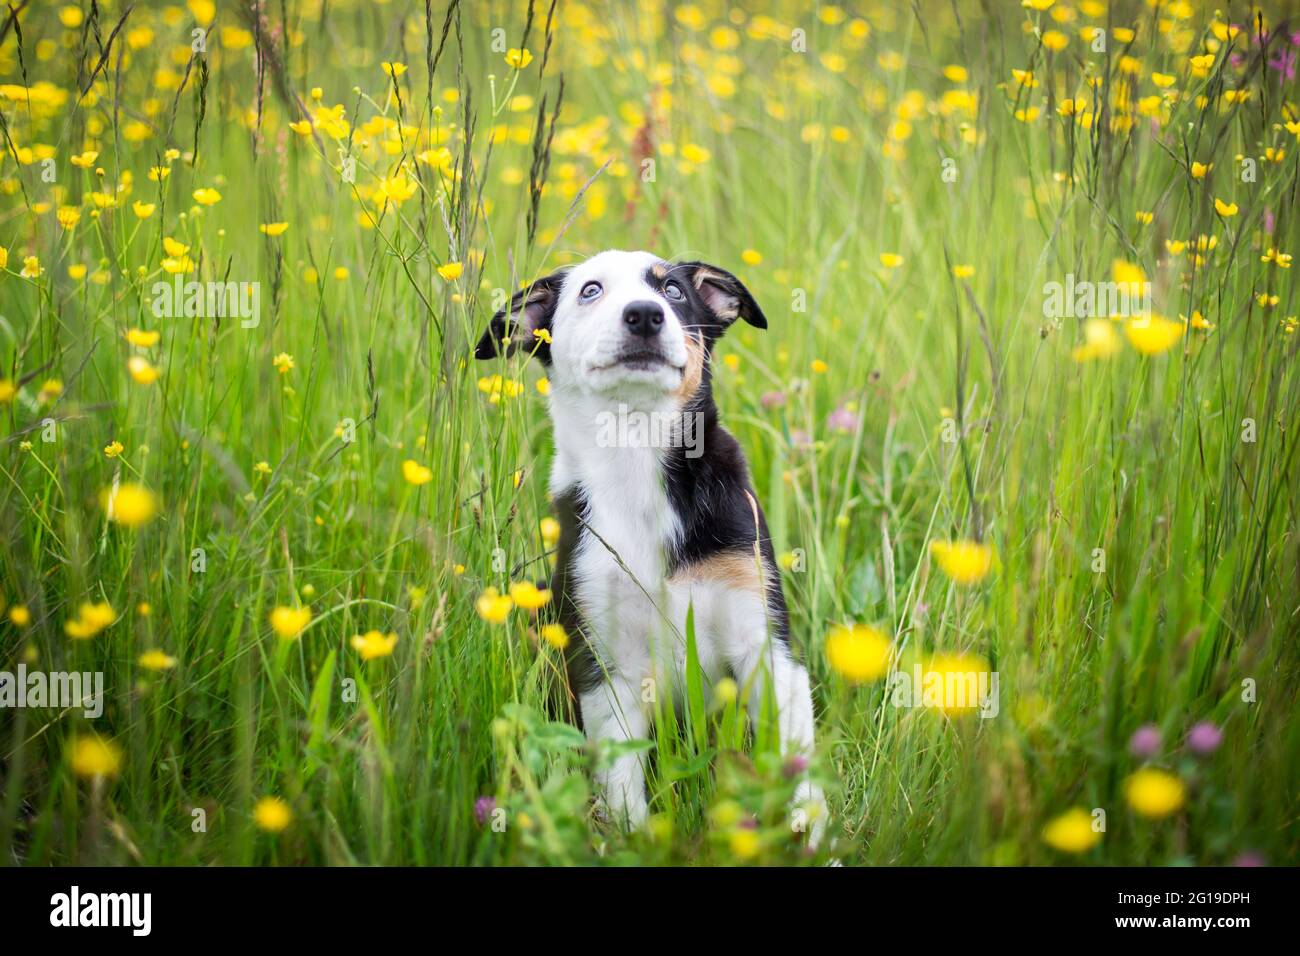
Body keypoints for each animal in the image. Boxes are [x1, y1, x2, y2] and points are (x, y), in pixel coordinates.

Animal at [475, 248, 821, 842]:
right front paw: (631, 840)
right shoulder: (605, 665)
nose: (644, 315)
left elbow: (796, 767)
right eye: (590, 290)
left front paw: (810, 837)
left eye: (674, 291)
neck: (634, 451)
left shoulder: (764, 644)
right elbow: (622, 787)